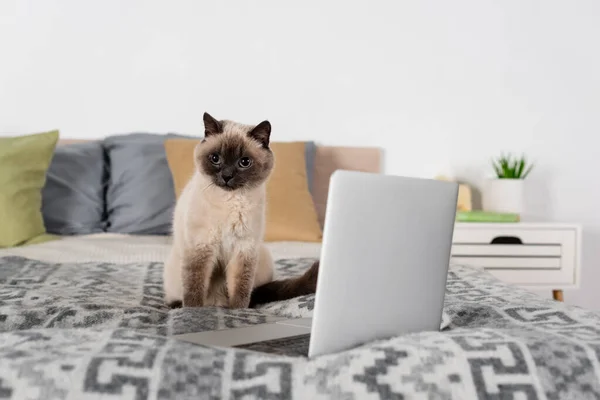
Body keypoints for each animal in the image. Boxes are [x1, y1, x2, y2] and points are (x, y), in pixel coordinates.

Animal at [159, 112, 318, 310]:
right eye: (215, 158)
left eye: (244, 162)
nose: (227, 176)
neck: (231, 201)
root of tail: (216, 302)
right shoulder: (201, 247)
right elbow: (194, 288)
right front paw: (192, 311)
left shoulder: (244, 249)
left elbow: (240, 289)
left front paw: (237, 311)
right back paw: (179, 305)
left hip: (262, 255)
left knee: (254, 294)